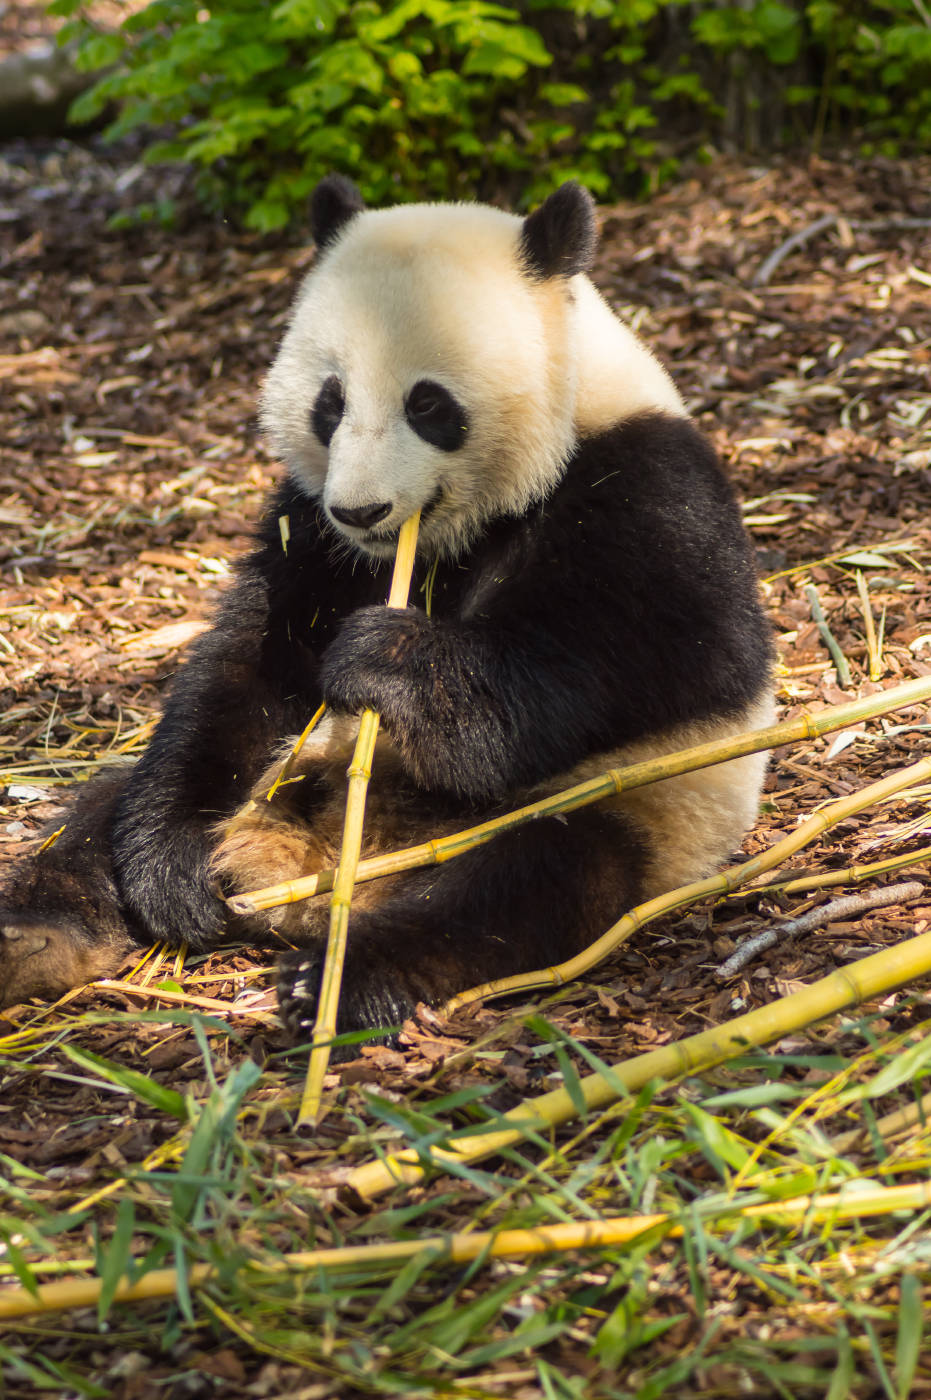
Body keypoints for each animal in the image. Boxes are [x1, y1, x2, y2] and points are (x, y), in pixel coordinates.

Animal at [0, 175, 767, 1041]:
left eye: (428, 404)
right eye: (328, 403)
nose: (362, 511)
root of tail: (321, 876)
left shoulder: (646, 481)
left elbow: (662, 653)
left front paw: (387, 659)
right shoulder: (308, 531)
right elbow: (244, 666)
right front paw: (172, 871)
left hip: (619, 804)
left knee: (522, 887)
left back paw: (340, 979)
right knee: (97, 818)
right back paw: (33, 939)